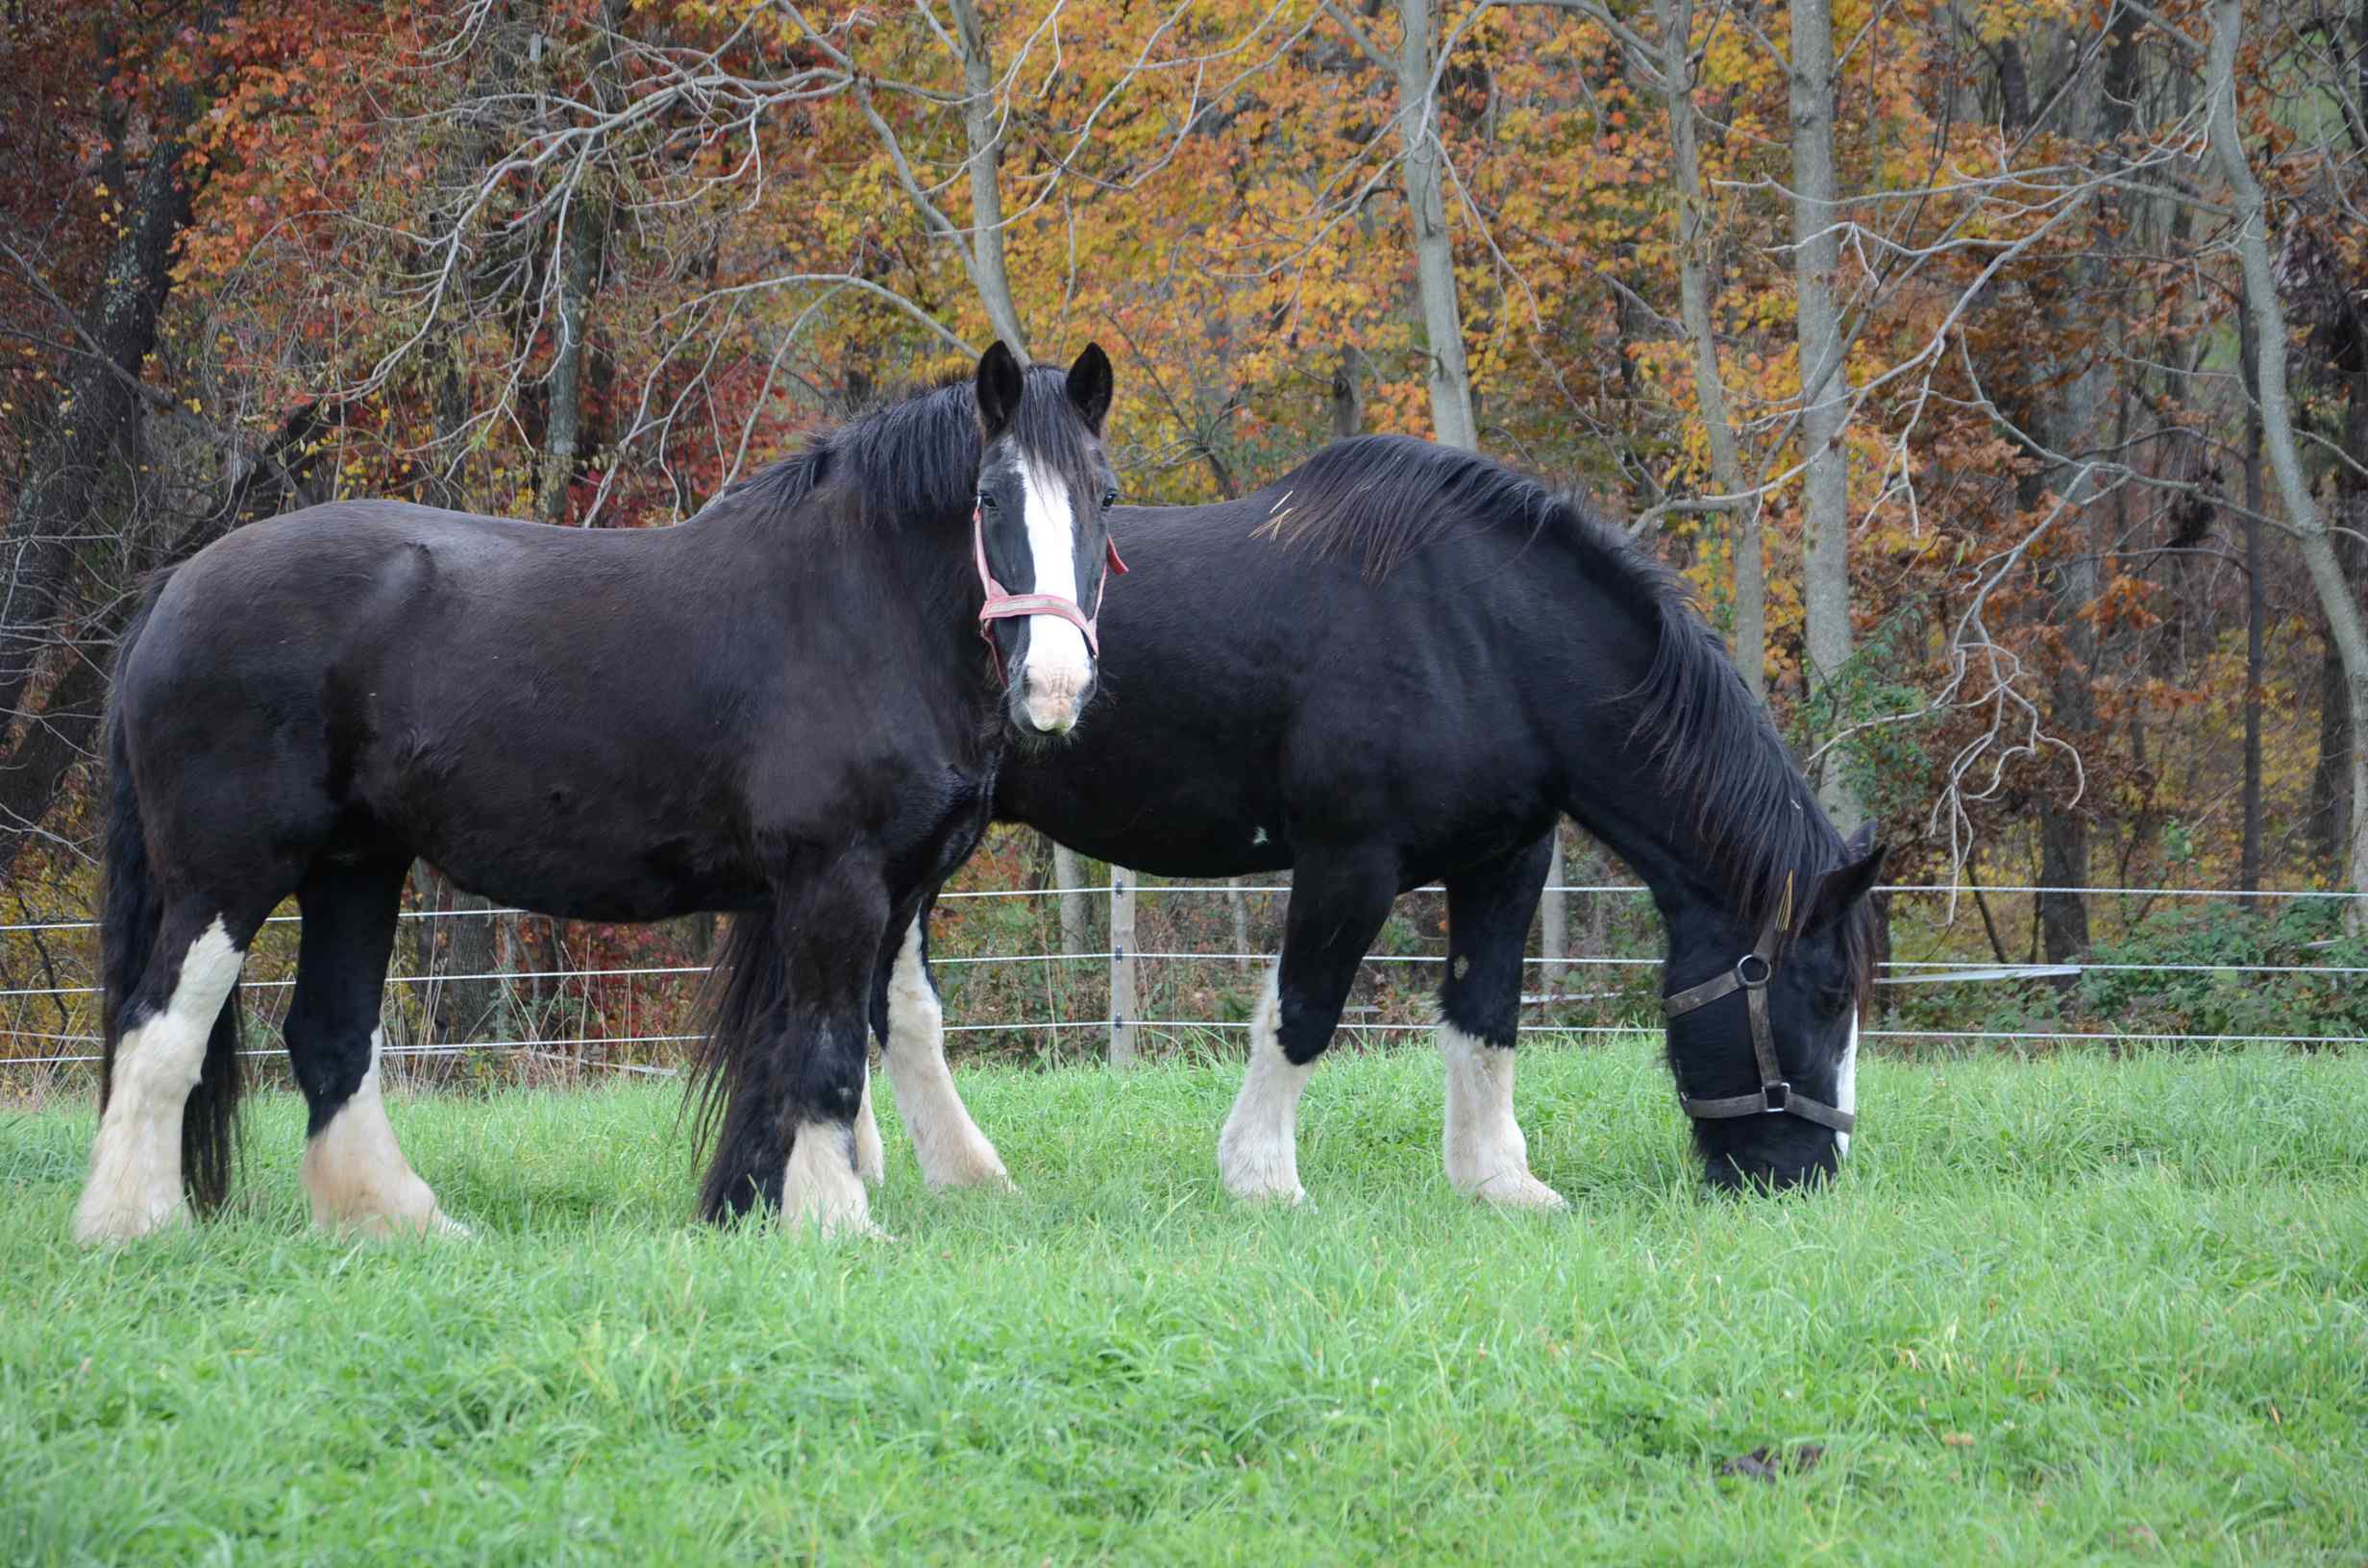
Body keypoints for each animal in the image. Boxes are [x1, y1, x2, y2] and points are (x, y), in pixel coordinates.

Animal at [72, 342, 1118, 1245]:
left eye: (1104, 497)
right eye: (989, 497)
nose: (1055, 688)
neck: (856, 608)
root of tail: (174, 589)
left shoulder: (890, 890)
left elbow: (852, 1036)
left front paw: (764, 1206)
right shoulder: (837, 881)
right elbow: (823, 1051)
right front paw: (835, 1222)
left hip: (354, 865)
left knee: (329, 1035)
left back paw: (400, 1222)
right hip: (226, 876)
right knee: (159, 1027)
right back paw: (134, 1227)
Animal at [858, 435, 1885, 1205]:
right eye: (1827, 994)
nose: (1809, 1176)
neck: (1476, 634)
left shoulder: (1506, 861)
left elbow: (1485, 1016)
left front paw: (1499, 1183)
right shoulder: (1349, 862)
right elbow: (1303, 1013)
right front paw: (1263, 1182)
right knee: (897, 1003)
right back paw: (960, 1174)